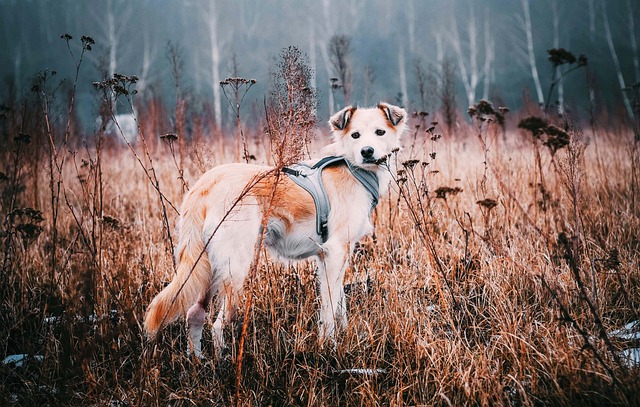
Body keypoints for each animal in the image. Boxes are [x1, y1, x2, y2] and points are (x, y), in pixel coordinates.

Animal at [143, 102, 408, 356]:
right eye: (355, 135)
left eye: (380, 132)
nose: (367, 152)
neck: (352, 167)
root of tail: (206, 183)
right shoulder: (335, 253)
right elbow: (330, 309)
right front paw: (329, 347)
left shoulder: (330, 257)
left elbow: (339, 305)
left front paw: (342, 337)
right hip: (234, 269)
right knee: (217, 325)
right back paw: (221, 364)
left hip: (207, 267)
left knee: (195, 314)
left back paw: (198, 361)